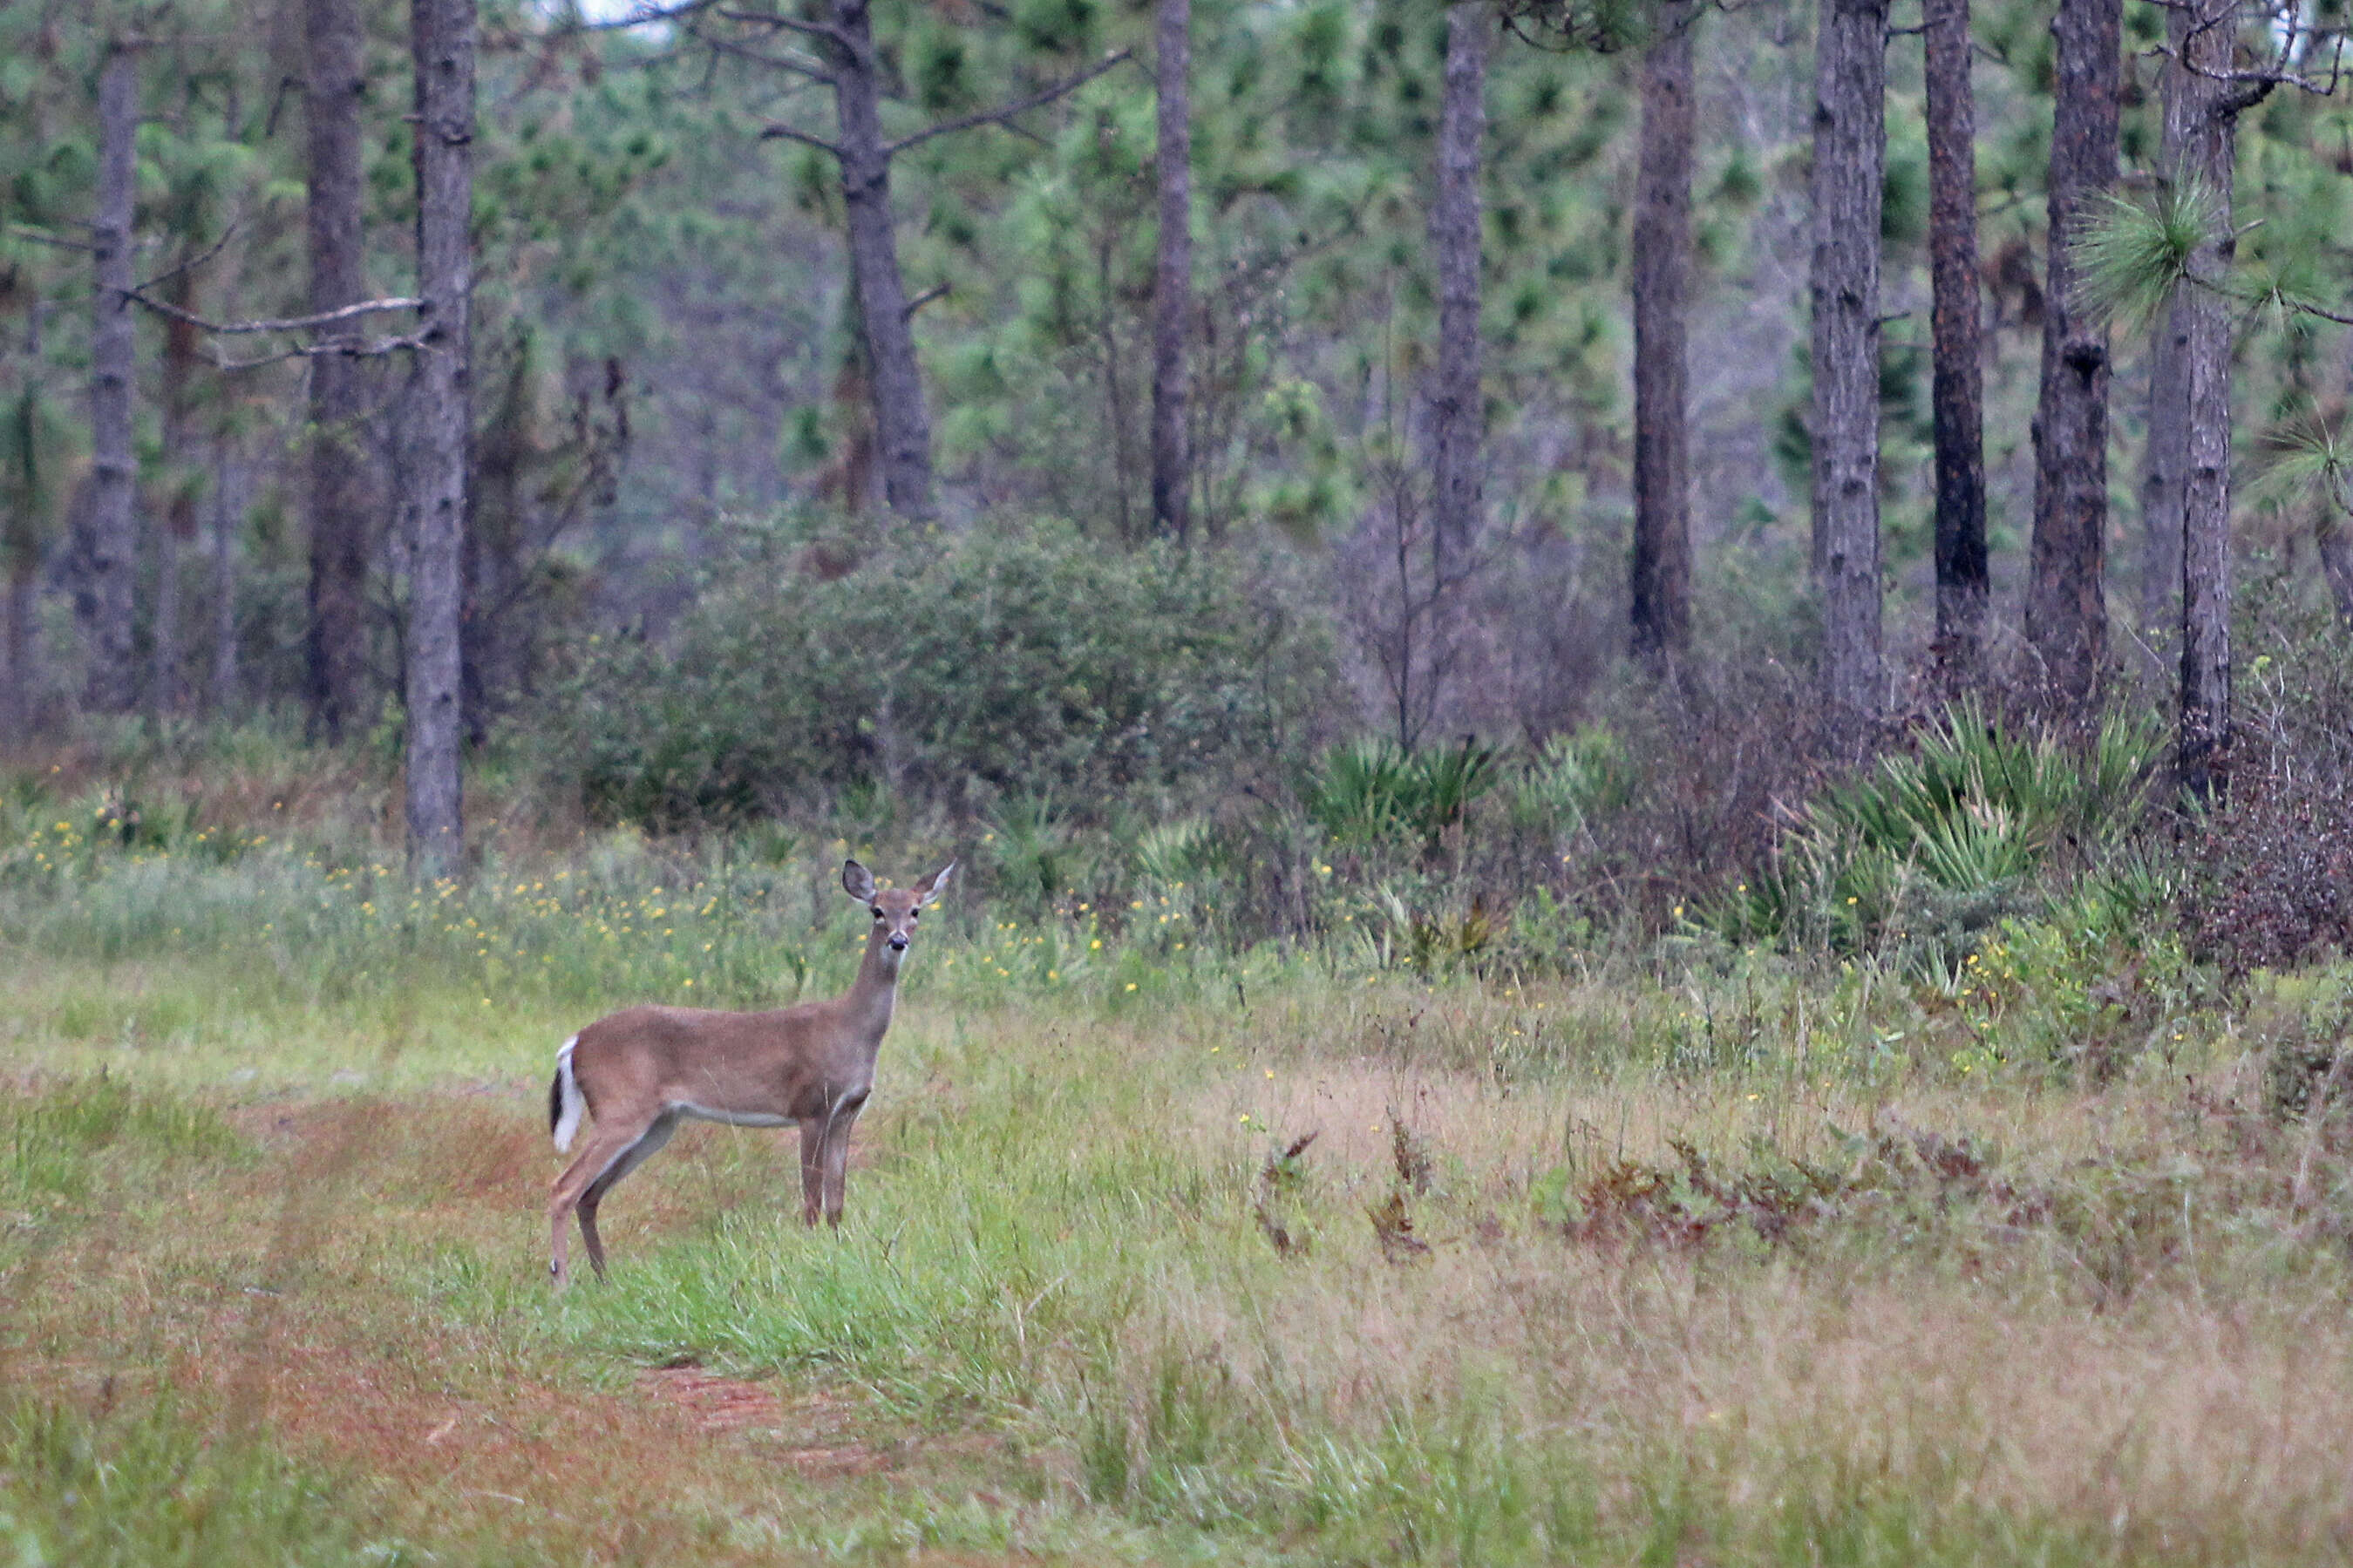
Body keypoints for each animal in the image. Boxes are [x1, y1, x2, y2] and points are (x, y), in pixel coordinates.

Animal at [546, 860, 950, 1288]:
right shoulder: (811, 1106)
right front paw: (812, 1255)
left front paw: (839, 1251)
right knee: (564, 1188)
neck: (850, 1029)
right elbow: (811, 1199)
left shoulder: (847, 1112)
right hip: (621, 1108)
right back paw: (561, 1283)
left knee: (590, 1194)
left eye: (915, 910)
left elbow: (837, 1200)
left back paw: (605, 1279)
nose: (898, 941)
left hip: (657, 1124)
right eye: (877, 911)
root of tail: (575, 1042)